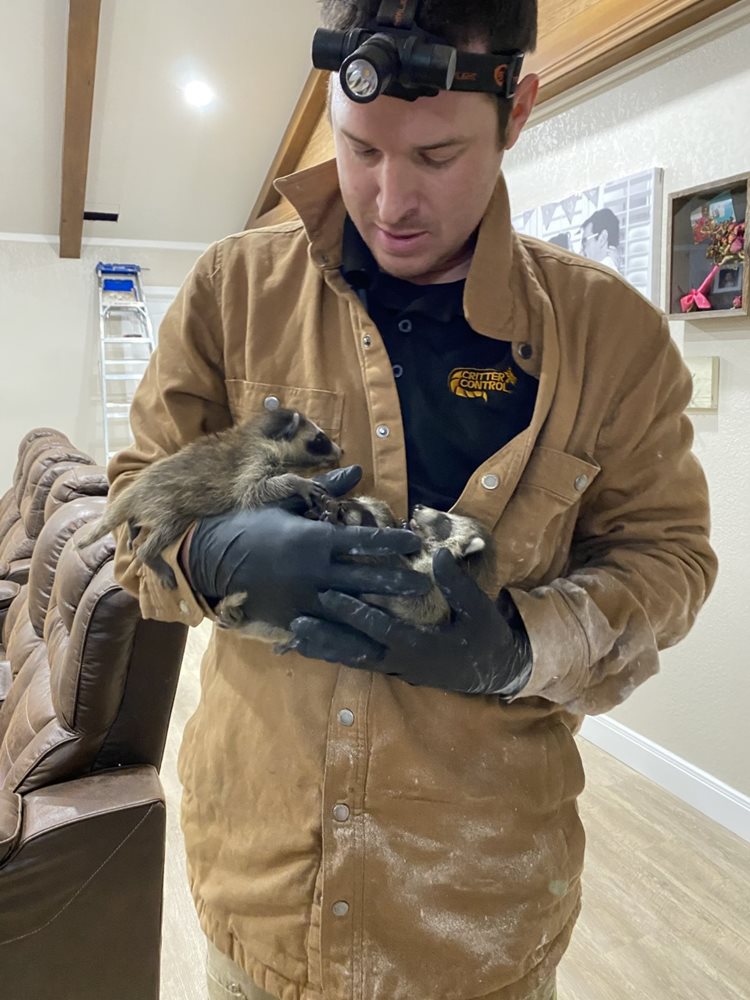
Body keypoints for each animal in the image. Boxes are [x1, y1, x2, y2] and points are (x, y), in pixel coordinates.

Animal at [76, 406, 340, 584]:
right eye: (320, 438)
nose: (340, 450)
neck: (258, 433)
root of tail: (137, 489)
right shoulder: (253, 457)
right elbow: (250, 489)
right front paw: (297, 482)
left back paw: (132, 526)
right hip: (164, 505)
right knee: (166, 528)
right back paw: (149, 554)